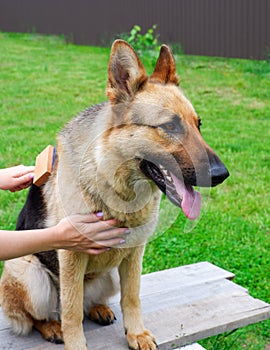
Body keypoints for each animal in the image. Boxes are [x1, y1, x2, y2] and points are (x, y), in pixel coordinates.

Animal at [0, 39, 229, 348]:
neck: (118, 187)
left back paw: (98, 308)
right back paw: (51, 327)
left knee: (89, 302)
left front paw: (136, 333)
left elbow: (132, 297)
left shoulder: (134, 254)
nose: (221, 175)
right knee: (43, 314)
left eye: (198, 124)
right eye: (169, 126)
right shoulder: (71, 255)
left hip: (110, 276)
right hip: (28, 272)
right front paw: (75, 343)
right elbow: (71, 312)